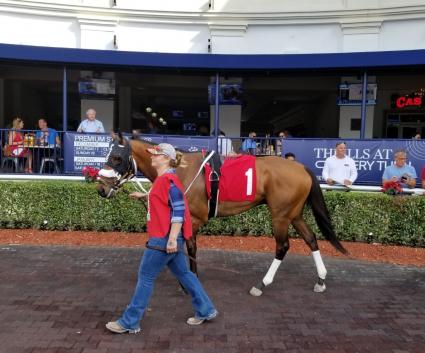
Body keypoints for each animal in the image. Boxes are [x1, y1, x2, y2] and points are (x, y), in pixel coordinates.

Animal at [96, 136, 344, 296]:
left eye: (117, 157)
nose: (101, 188)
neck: (180, 168)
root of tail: (302, 168)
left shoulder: (194, 219)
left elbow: (190, 247)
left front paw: (190, 282)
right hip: (294, 213)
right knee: (311, 238)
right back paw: (321, 279)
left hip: (280, 215)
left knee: (283, 246)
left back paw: (262, 284)